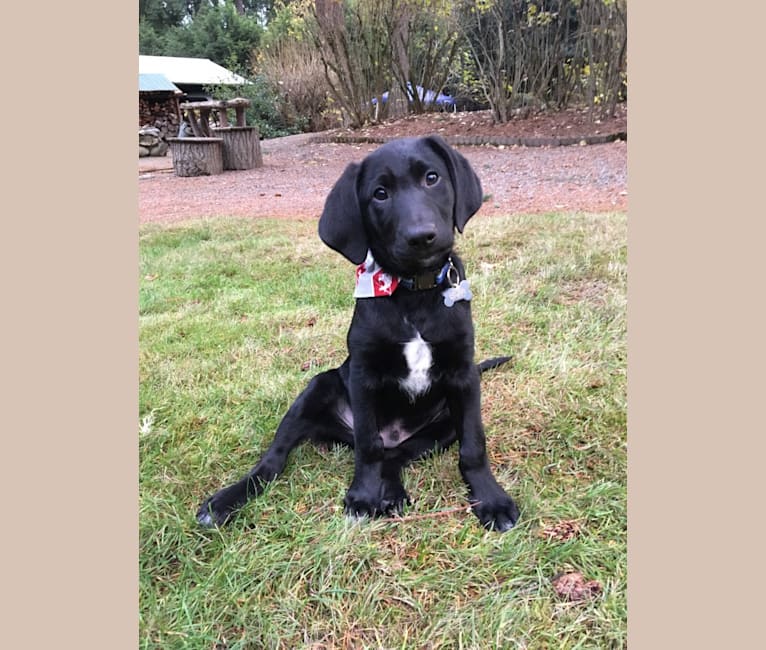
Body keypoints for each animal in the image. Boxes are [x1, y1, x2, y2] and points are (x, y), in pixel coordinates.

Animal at [198, 134, 520, 528]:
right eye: (380, 194)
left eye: (432, 178)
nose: (421, 237)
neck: (414, 292)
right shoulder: (363, 376)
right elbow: (368, 447)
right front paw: (364, 496)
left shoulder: (464, 376)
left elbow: (473, 446)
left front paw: (491, 499)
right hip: (316, 388)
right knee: (276, 460)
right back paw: (226, 500)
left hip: (440, 426)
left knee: (395, 456)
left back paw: (393, 493)